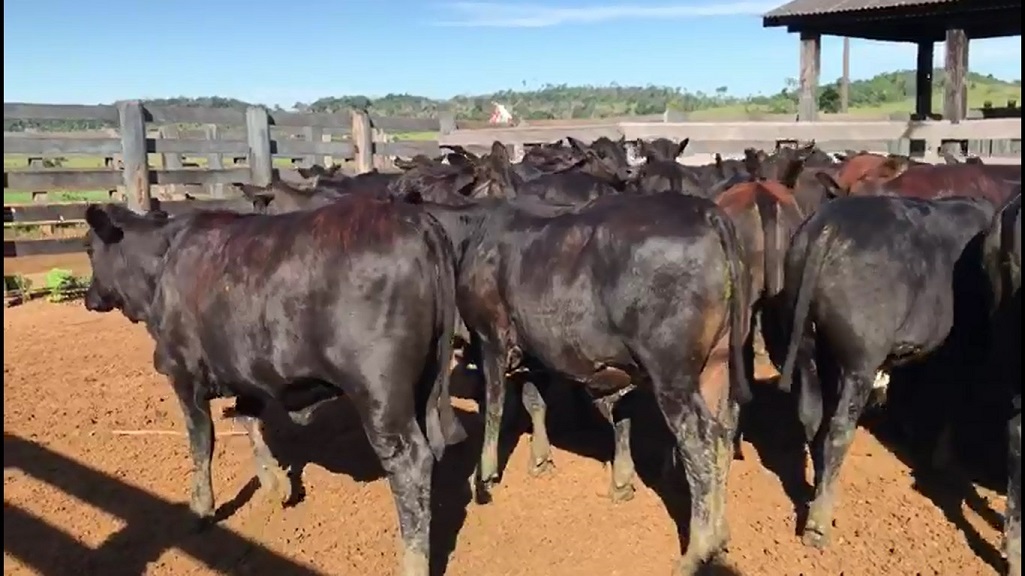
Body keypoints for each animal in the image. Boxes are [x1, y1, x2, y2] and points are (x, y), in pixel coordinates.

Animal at [83, 198, 465, 573]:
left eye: (88, 247)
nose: (89, 298)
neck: (162, 261)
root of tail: (415, 219)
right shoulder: (243, 369)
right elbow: (248, 419)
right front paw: (275, 484)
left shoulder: (184, 374)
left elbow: (202, 443)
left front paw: (200, 509)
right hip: (422, 387)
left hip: (380, 396)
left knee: (410, 463)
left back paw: (413, 562)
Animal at [424, 146, 754, 569]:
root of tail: (705, 212)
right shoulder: (536, 348)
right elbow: (536, 401)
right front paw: (542, 459)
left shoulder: (491, 337)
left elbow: (494, 405)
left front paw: (484, 478)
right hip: (716, 363)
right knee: (724, 431)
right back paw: (720, 535)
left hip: (673, 376)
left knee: (699, 440)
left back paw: (697, 551)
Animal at [774, 192, 992, 545]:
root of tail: (829, 223)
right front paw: (942, 457)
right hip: (860, 360)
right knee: (838, 429)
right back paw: (818, 523)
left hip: (807, 341)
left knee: (811, 415)